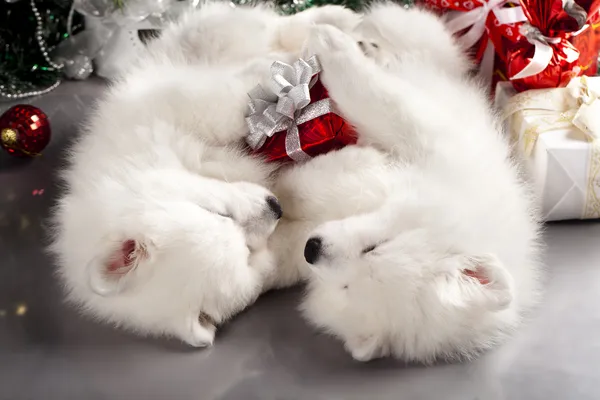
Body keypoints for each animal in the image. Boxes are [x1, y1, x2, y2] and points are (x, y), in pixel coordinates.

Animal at [50, 1, 360, 346]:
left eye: (217, 212)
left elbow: (228, 105)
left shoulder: (171, 108)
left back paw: (332, 21)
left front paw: (279, 75)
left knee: (270, 26)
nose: (275, 206)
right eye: (247, 255)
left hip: (206, 32)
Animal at [270, 3, 540, 362]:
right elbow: (369, 91)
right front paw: (330, 41)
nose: (311, 250)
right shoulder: (426, 134)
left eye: (346, 288)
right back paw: (348, 33)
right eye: (375, 246)